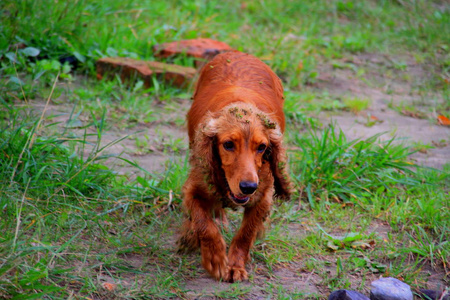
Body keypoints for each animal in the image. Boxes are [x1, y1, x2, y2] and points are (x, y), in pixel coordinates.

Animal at [178, 50, 290, 282]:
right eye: (228, 144)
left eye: (262, 147)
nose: (248, 187)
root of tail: (237, 52)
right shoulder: (194, 188)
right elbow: (204, 224)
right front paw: (214, 259)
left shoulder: (262, 197)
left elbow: (246, 233)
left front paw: (235, 266)